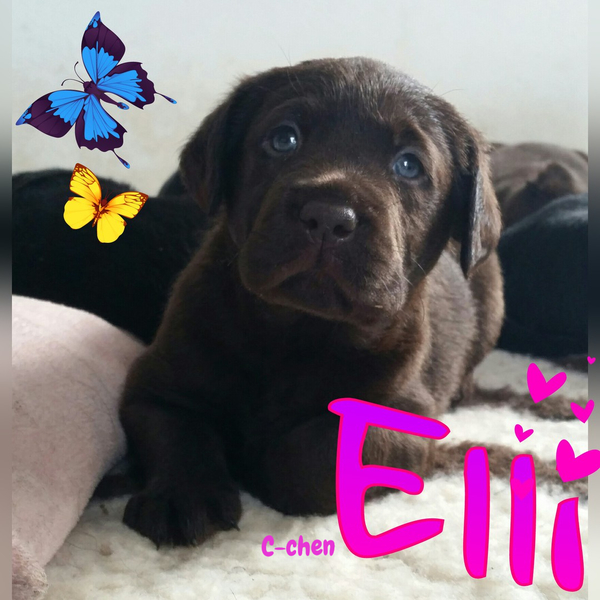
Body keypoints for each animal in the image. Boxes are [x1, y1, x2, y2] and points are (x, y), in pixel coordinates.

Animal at [117, 57, 507, 547]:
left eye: (408, 165)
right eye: (284, 139)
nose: (329, 216)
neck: (298, 328)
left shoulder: (404, 418)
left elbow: (318, 456)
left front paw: (257, 463)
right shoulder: (155, 381)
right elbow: (176, 430)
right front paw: (183, 496)